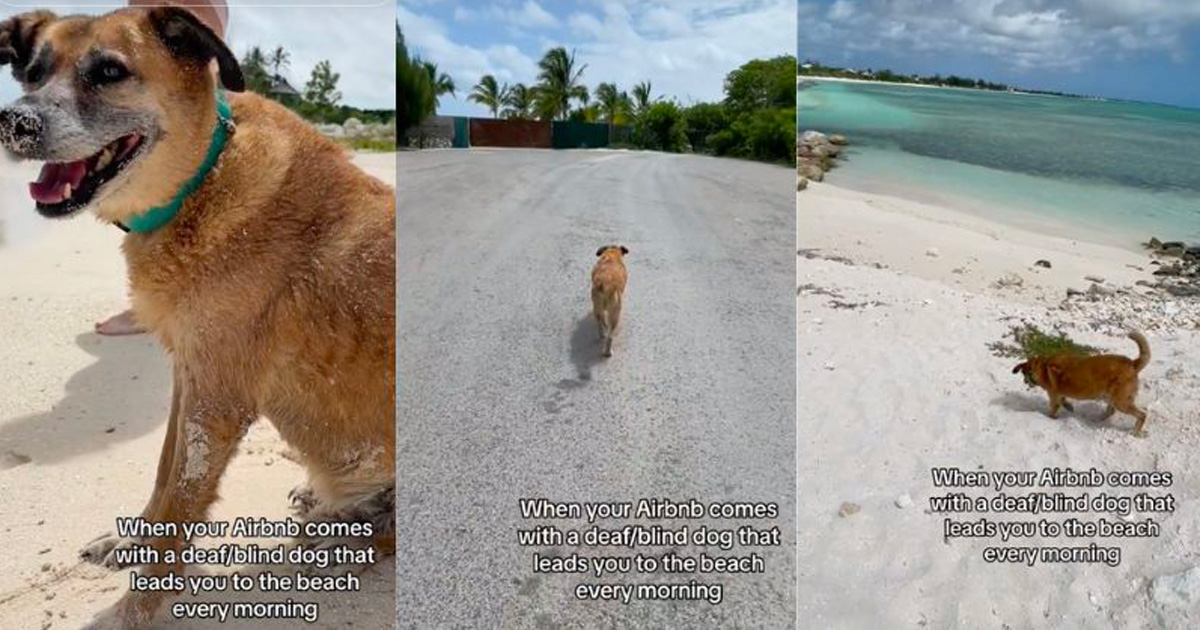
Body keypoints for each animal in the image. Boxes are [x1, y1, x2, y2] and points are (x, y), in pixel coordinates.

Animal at [1, 7, 393, 624]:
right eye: (33, 73)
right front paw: (130, 540)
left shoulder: (216, 405)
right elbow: (163, 479)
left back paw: (337, 540)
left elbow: (178, 510)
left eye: (109, 72)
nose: (13, 122)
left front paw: (131, 612)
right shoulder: (189, 378)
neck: (202, 178)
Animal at [1012, 328, 1152, 436]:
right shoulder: (1059, 395)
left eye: (1024, 374)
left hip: (1121, 402)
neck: (1043, 367)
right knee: (1110, 411)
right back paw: (1096, 420)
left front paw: (1050, 418)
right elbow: (1064, 401)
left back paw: (1136, 432)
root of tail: (1132, 363)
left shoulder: (1054, 396)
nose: (1025, 381)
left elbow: (1053, 410)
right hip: (1110, 397)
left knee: (1142, 415)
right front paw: (1068, 406)